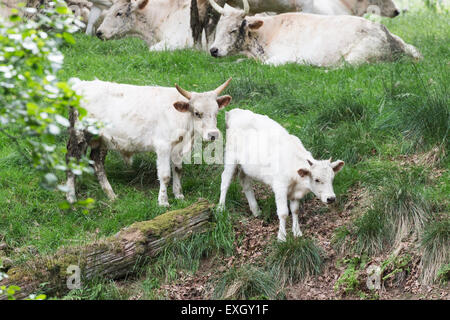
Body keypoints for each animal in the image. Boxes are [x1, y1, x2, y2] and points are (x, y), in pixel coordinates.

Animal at [68, 79, 234, 206]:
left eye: (216, 112)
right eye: (197, 113)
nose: (213, 135)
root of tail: (79, 85)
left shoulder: (178, 148)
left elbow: (178, 170)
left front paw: (179, 195)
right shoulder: (163, 146)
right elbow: (165, 175)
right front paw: (163, 201)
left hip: (101, 139)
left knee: (97, 162)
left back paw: (111, 195)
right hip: (80, 135)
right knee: (71, 159)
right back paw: (71, 197)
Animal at [218, 109, 344, 241]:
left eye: (332, 178)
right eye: (316, 179)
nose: (331, 198)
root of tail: (235, 111)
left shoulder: (295, 193)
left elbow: (295, 211)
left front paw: (297, 232)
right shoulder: (280, 187)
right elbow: (283, 213)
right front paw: (282, 237)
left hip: (246, 167)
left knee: (245, 183)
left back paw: (256, 210)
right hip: (230, 158)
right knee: (225, 181)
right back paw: (221, 208)